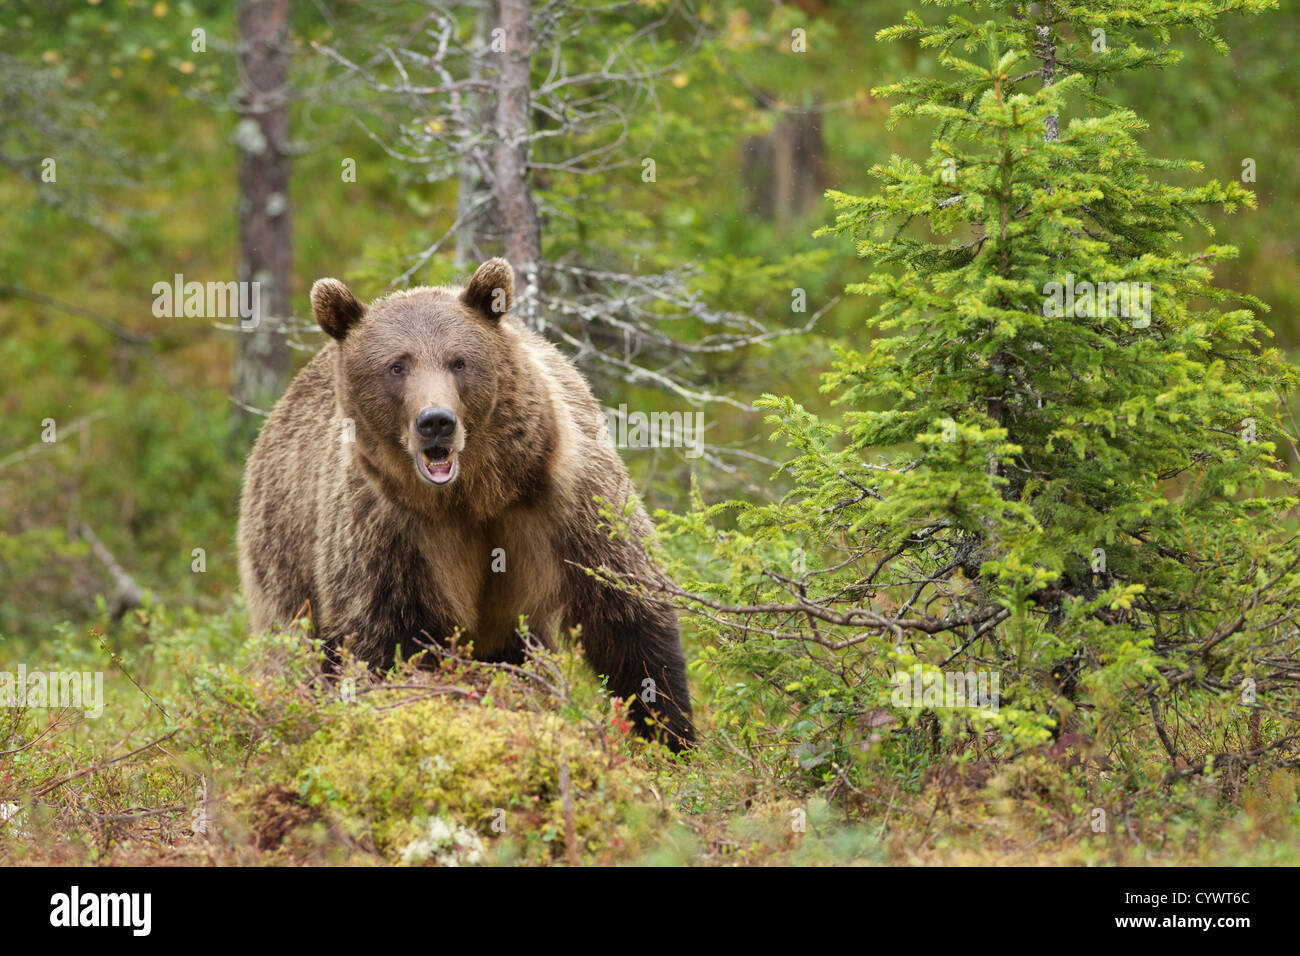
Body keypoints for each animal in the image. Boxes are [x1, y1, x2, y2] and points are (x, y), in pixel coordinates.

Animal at [239, 260, 696, 749]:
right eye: (396, 365)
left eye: (458, 360)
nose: (436, 421)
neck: (474, 495)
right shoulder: (390, 532)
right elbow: (391, 640)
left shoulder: (568, 497)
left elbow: (625, 610)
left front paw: (671, 735)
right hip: (284, 549)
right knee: (294, 644)